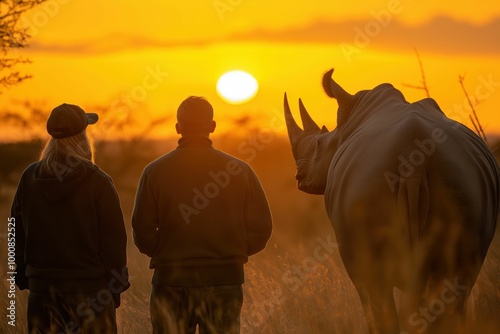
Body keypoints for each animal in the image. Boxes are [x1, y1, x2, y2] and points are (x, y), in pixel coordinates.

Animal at [284, 68, 498, 334]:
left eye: (318, 144)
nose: (299, 177)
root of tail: (411, 156)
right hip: (461, 183)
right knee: (456, 289)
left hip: (366, 182)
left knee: (375, 291)